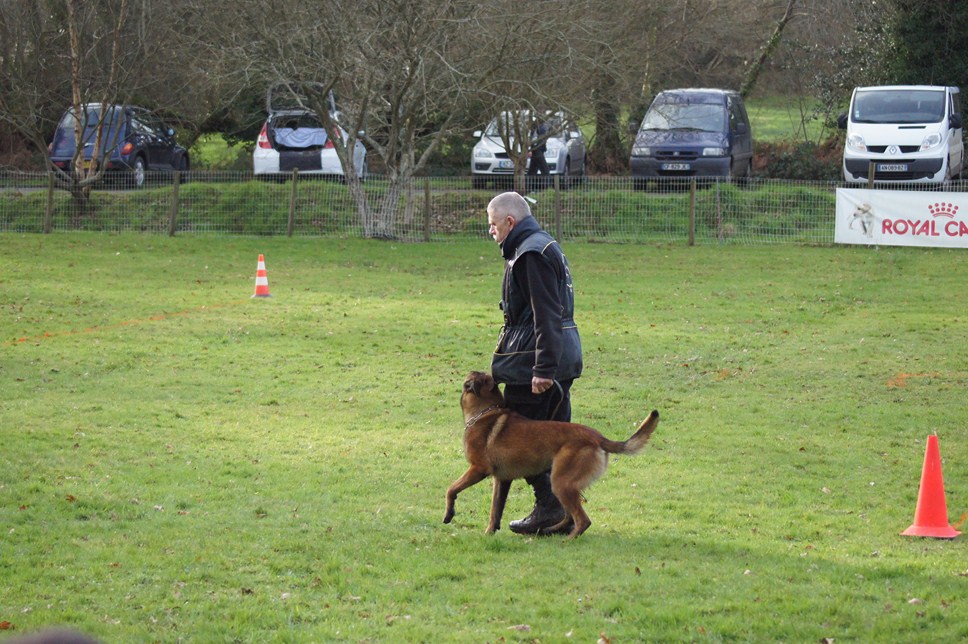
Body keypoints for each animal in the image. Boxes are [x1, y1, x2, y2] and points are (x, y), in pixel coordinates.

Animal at [444, 370, 656, 540]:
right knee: (570, 516)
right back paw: (549, 530)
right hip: (564, 485)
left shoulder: (478, 469)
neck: (485, 412)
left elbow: (451, 489)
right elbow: (495, 511)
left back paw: (567, 540)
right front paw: (489, 532)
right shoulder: (501, 480)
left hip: (561, 482)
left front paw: (449, 514)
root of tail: (597, 437)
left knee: (582, 520)